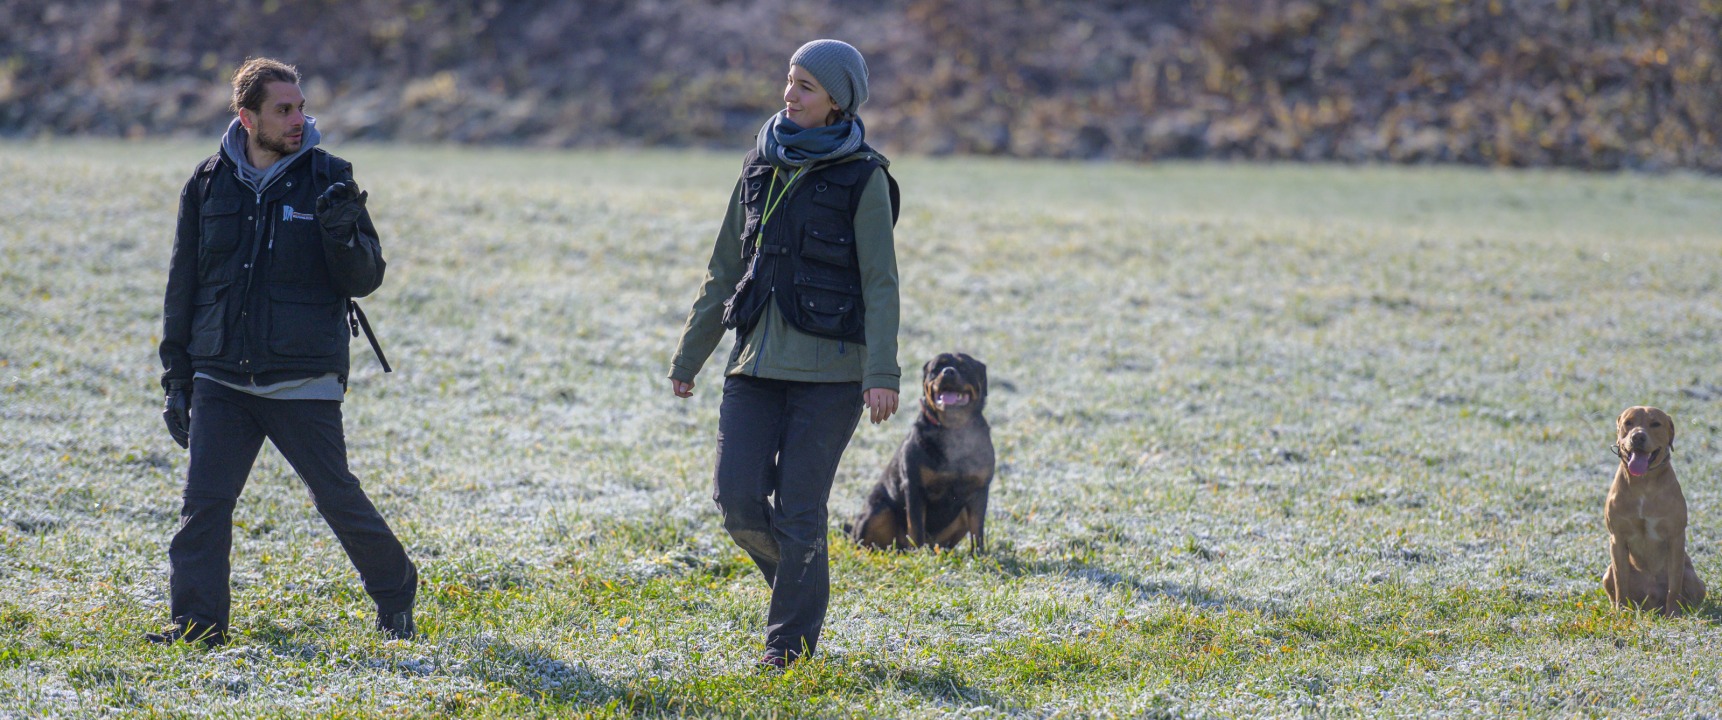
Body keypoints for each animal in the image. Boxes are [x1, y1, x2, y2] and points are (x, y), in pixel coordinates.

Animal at [847, 353, 998, 551]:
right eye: (936, 368)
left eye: (964, 367)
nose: (948, 371)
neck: (953, 429)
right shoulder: (914, 486)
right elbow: (916, 525)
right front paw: (918, 553)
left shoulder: (979, 490)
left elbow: (977, 530)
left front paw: (978, 555)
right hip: (878, 509)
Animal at [1604, 408, 1701, 616]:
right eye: (1629, 423)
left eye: (1655, 424)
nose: (1638, 437)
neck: (1643, 482)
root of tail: (1651, 603)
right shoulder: (1617, 539)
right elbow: (1620, 581)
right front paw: (1621, 612)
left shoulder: (1675, 537)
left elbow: (1674, 585)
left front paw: (1673, 615)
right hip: (1607, 574)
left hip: (1693, 577)